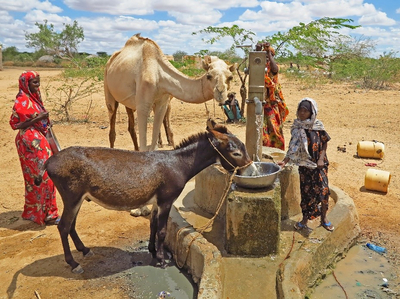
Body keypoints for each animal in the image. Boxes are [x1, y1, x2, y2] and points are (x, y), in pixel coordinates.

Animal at [102, 34, 238, 152]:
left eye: (230, 77)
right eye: (209, 76)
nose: (220, 92)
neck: (159, 75)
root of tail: (110, 61)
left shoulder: (162, 103)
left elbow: (153, 144)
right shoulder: (143, 106)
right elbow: (144, 146)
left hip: (128, 103)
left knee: (130, 127)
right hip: (108, 89)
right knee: (112, 124)